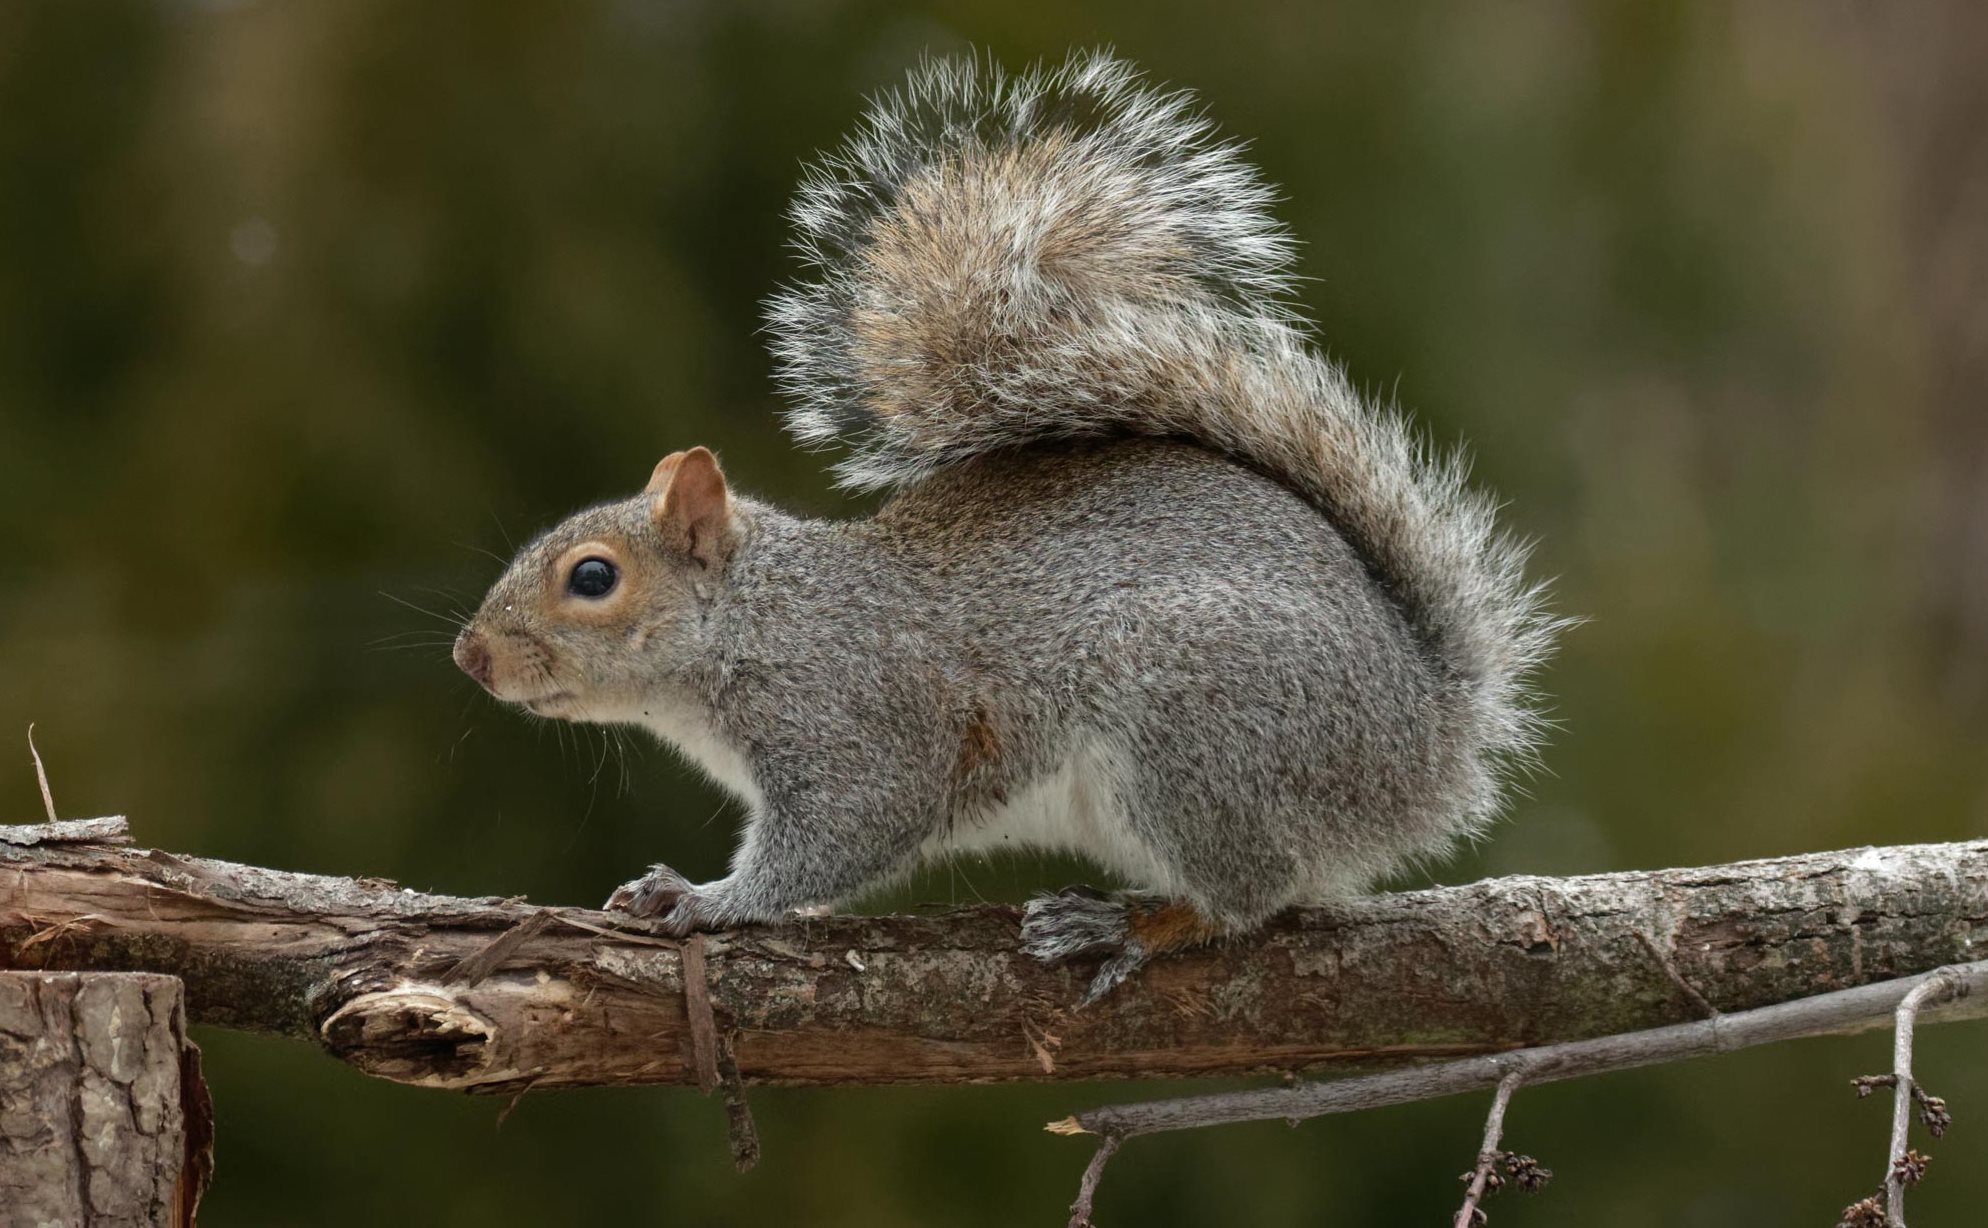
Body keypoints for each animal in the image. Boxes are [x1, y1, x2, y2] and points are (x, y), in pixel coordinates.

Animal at [455, 52, 1566, 997]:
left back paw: (1132, 925)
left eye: (591, 577)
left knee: (1246, 894)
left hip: (1195, 725)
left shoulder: (858, 724)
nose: (470, 656)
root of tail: (1425, 746)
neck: (757, 620)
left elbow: (836, 838)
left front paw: (708, 898)